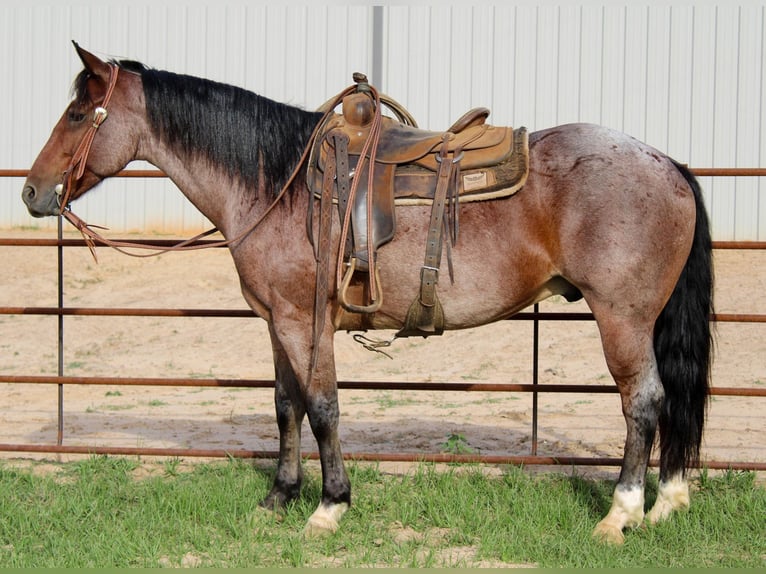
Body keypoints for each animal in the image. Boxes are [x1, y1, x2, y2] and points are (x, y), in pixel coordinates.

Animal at [19, 44, 712, 544]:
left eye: (78, 114)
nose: (31, 192)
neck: (276, 183)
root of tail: (665, 163)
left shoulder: (304, 322)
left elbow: (323, 407)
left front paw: (329, 506)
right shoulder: (278, 322)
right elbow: (287, 407)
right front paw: (278, 497)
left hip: (621, 318)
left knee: (643, 402)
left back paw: (620, 514)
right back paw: (668, 502)